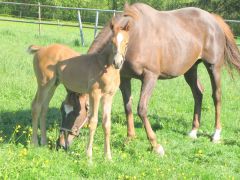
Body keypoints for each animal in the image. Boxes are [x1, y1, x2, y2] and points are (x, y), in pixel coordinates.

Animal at [87, 2, 240, 156]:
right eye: (111, 43)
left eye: (126, 43)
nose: (117, 62)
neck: (137, 36)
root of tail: (213, 19)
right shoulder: (125, 79)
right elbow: (128, 107)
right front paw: (130, 138)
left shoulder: (150, 77)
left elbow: (141, 109)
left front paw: (155, 145)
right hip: (190, 68)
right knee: (198, 93)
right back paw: (193, 131)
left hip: (213, 67)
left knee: (217, 96)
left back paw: (216, 134)